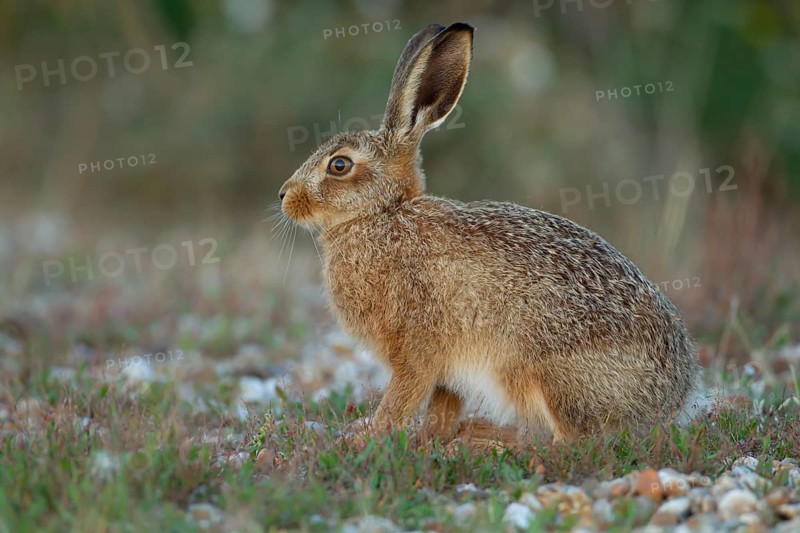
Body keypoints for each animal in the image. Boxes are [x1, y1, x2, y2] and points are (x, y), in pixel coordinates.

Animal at [278, 22, 701, 443]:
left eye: (339, 165)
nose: (284, 196)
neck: (383, 213)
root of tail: (668, 400)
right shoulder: (449, 373)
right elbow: (442, 408)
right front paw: (428, 439)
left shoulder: (416, 348)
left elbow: (402, 397)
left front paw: (368, 435)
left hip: (548, 374)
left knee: (569, 443)